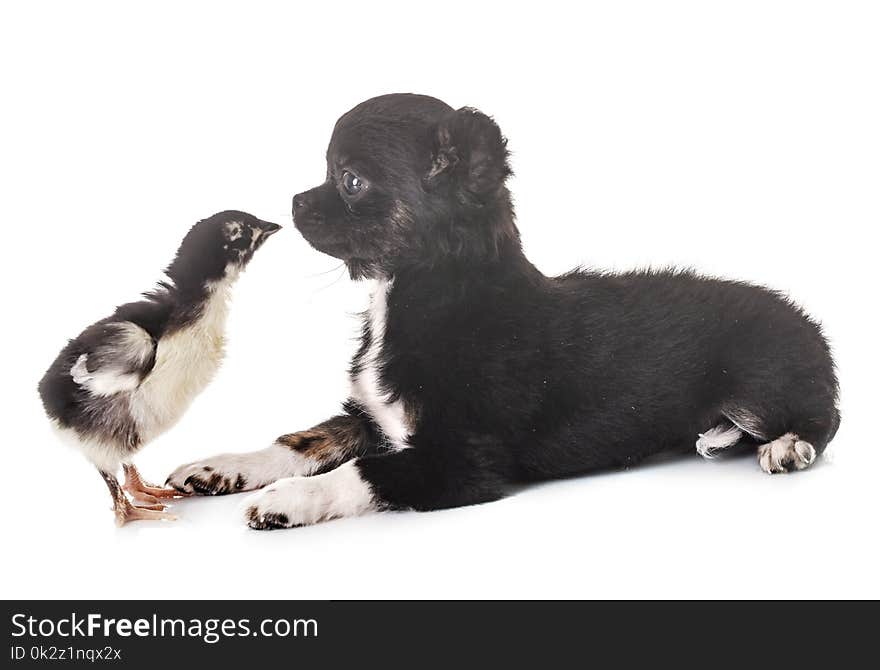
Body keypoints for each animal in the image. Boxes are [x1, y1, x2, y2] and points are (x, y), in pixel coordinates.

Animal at [170, 93, 840, 532]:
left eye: (351, 180)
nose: (293, 201)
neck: (414, 298)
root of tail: (809, 323)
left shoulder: (458, 460)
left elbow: (358, 473)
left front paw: (287, 500)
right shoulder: (374, 418)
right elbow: (302, 439)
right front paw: (223, 467)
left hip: (760, 379)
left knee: (823, 417)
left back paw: (786, 447)